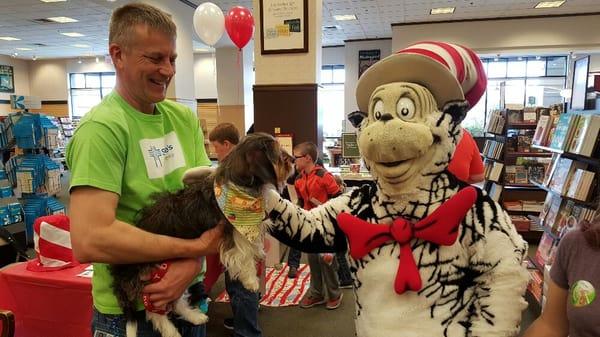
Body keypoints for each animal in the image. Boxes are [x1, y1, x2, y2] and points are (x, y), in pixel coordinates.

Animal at [264, 42, 528, 336]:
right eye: (377, 113)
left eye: (406, 110)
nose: (385, 119)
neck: (405, 201)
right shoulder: (346, 207)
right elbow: (310, 224)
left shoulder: (482, 213)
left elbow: (501, 272)